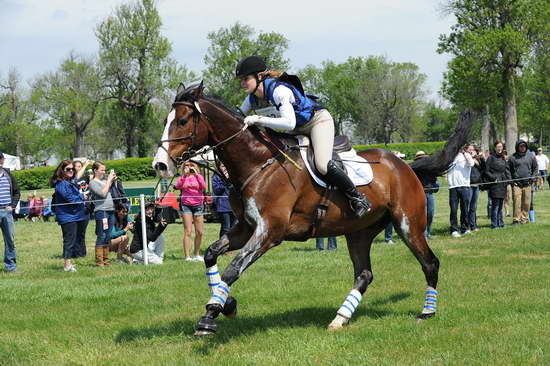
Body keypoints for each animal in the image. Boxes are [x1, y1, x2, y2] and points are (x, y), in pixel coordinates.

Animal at [154, 82, 474, 334]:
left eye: (182, 120)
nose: (160, 165)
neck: (258, 163)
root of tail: (405, 166)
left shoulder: (270, 231)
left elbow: (234, 267)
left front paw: (210, 315)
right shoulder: (246, 227)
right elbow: (211, 254)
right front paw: (226, 304)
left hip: (408, 224)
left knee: (429, 263)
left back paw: (427, 311)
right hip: (358, 232)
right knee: (364, 274)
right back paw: (339, 319)